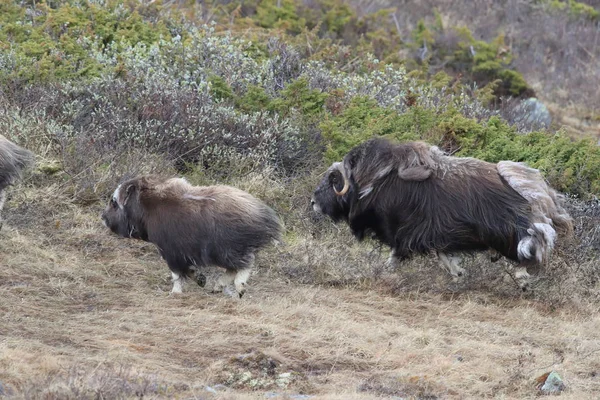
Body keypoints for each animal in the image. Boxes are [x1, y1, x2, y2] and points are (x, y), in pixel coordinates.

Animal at [102, 175, 282, 296]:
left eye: (114, 202)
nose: (103, 218)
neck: (147, 208)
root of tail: (264, 216)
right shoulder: (181, 254)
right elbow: (188, 270)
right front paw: (200, 280)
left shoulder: (170, 251)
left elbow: (176, 273)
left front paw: (175, 292)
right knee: (233, 269)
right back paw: (217, 286)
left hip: (229, 250)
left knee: (244, 265)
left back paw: (240, 287)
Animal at [312, 138, 576, 288]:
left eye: (333, 179)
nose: (313, 201)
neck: (374, 183)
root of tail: (541, 192)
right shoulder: (435, 235)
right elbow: (443, 255)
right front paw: (459, 273)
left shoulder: (404, 232)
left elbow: (396, 255)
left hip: (517, 233)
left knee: (535, 248)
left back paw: (522, 279)